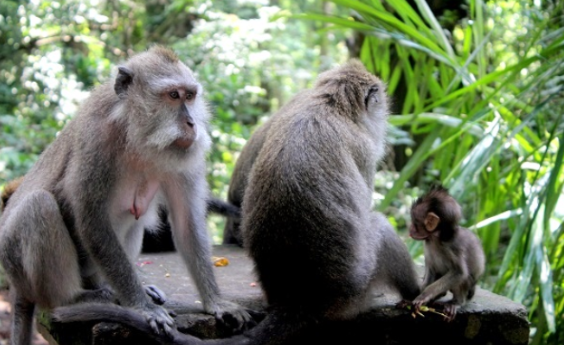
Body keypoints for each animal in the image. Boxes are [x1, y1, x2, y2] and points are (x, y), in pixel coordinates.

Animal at [0, 45, 253, 344]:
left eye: (190, 96)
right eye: (173, 95)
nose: (191, 123)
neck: (135, 135)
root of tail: (16, 286)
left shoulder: (183, 157)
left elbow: (187, 224)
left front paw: (215, 302)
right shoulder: (97, 141)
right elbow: (92, 221)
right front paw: (141, 306)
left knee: (134, 218)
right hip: (17, 264)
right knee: (38, 206)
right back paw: (77, 298)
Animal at [408, 184, 486, 322]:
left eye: (414, 222)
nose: (409, 228)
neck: (436, 238)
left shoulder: (451, 247)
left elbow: (459, 272)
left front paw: (424, 295)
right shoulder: (427, 243)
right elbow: (431, 267)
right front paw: (421, 292)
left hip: (469, 288)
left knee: (464, 278)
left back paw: (457, 302)